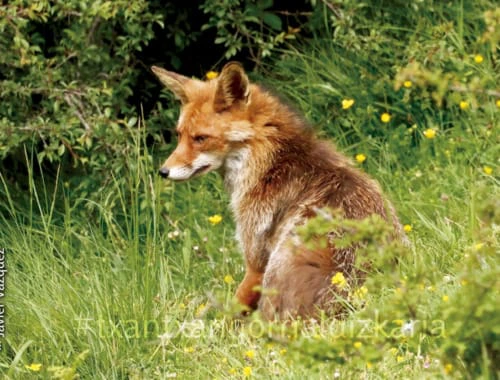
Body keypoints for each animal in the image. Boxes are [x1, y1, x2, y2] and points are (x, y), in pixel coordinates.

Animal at [152, 62, 406, 320]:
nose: (163, 171)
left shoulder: (255, 263)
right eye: (179, 135)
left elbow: (229, 313)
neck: (269, 163)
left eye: (201, 138)